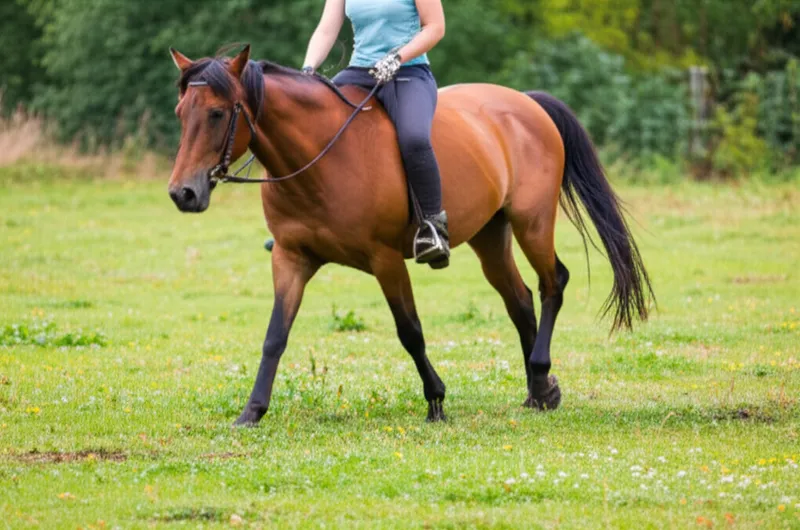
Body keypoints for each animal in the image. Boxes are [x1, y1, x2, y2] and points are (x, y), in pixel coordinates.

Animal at [167, 45, 654, 426]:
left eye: (216, 114)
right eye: (180, 114)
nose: (182, 193)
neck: (321, 158)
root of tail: (526, 103)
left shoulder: (384, 260)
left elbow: (410, 331)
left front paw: (436, 400)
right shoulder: (290, 257)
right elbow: (275, 335)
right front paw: (252, 411)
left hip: (532, 222)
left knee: (553, 283)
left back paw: (540, 372)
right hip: (490, 236)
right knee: (518, 300)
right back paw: (539, 390)